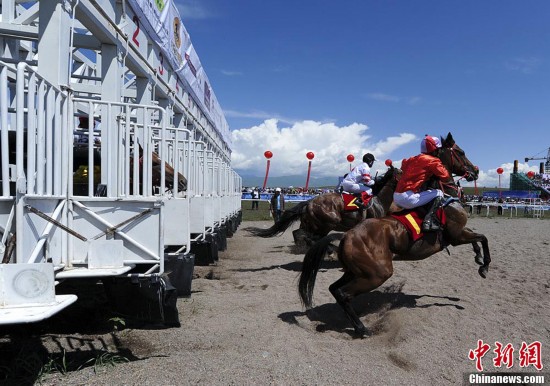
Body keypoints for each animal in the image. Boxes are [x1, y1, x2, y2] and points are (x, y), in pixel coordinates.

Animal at [248, 165, 404, 244]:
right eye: (402, 172)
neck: (378, 199)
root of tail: (309, 202)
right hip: (326, 224)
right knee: (310, 238)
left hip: (310, 224)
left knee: (297, 234)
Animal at [300, 133, 490, 338]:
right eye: (461, 152)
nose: (475, 171)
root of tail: (345, 237)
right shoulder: (456, 236)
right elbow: (483, 238)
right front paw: (484, 267)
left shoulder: (461, 233)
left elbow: (479, 239)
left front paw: (479, 258)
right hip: (377, 273)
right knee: (344, 293)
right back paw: (362, 328)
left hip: (355, 271)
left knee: (334, 289)